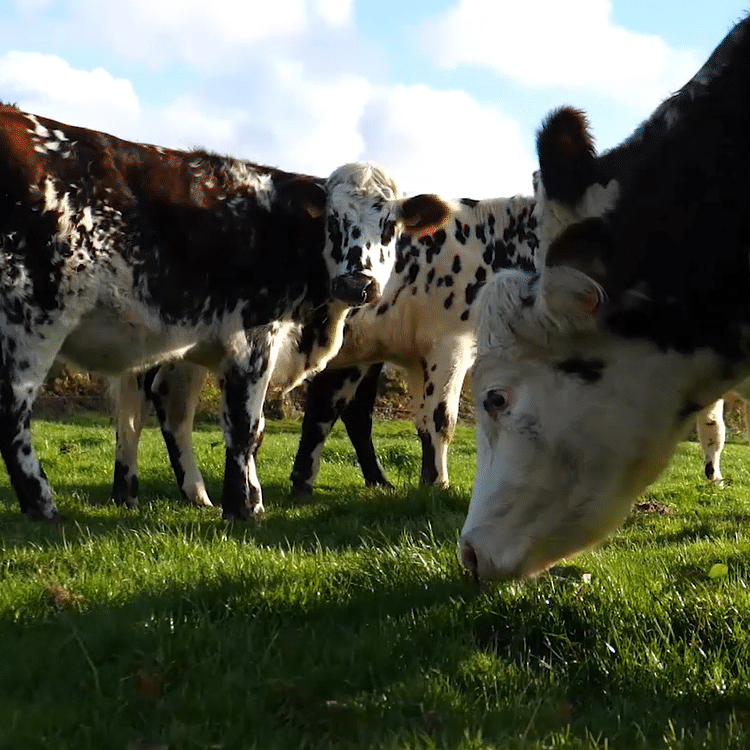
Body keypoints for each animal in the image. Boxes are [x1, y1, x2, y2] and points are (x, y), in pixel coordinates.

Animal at [0, 103, 400, 524]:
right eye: (334, 222)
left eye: (390, 227)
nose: (357, 284)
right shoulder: (252, 337)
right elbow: (245, 428)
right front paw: (241, 509)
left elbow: (247, 427)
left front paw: (250, 500)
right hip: (32, 318)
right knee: (11, 411)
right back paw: (43, 505)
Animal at [288, 192, 540, 494]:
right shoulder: (450, 345)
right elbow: (442, 419)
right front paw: (440, 483)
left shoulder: (419, 355)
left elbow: (424, 422)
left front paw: (427, 482)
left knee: (341, 410)